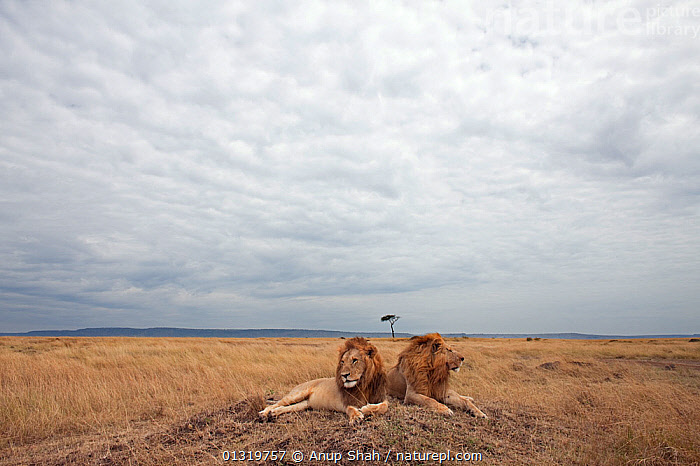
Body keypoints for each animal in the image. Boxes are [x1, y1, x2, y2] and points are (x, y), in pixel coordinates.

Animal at [259, 337, 388, 424]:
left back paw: (273, 413)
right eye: (342, 362)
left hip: (304, 404)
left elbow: (384, 406)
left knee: (284, 408)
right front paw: (356, 416)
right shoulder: (346, 402)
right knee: (275, 404)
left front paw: (366, 408)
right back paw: (264, 414)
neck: (363, 384)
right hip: (296, 394)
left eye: (355, 360)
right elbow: (351, 409)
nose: (344, 375)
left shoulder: (381, 397)